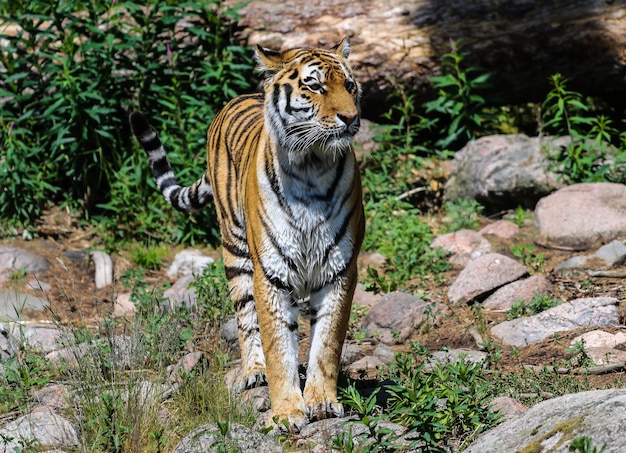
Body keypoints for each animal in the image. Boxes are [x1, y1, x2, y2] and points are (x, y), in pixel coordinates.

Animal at [130, 37, 366, 430]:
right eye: (315, 86)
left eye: (349, 86)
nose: (350, 119)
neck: (312, 166)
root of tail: (237, 98)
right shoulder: (271, 272)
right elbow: (278, 346)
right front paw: (286, 412)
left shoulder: (339, 269)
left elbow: (327, 344)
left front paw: (321, 402)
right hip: (235, 251)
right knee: (246, 319)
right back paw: (254, 371)